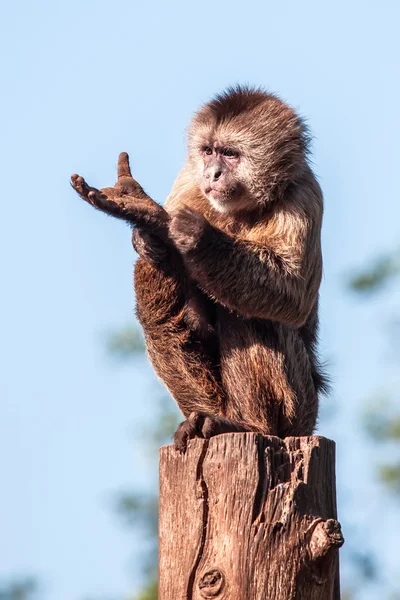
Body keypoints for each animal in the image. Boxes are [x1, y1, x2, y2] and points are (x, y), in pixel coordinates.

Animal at [71, 84, 328, 450]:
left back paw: (250, 424)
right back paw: (206, 417)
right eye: (208, 152)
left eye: (230, 154)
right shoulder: (189, 180)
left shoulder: (305, 194)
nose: (212, 173)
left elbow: (293, 296)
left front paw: (184, 232)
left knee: (249, 314)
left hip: (301, 409)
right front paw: (152, 231)